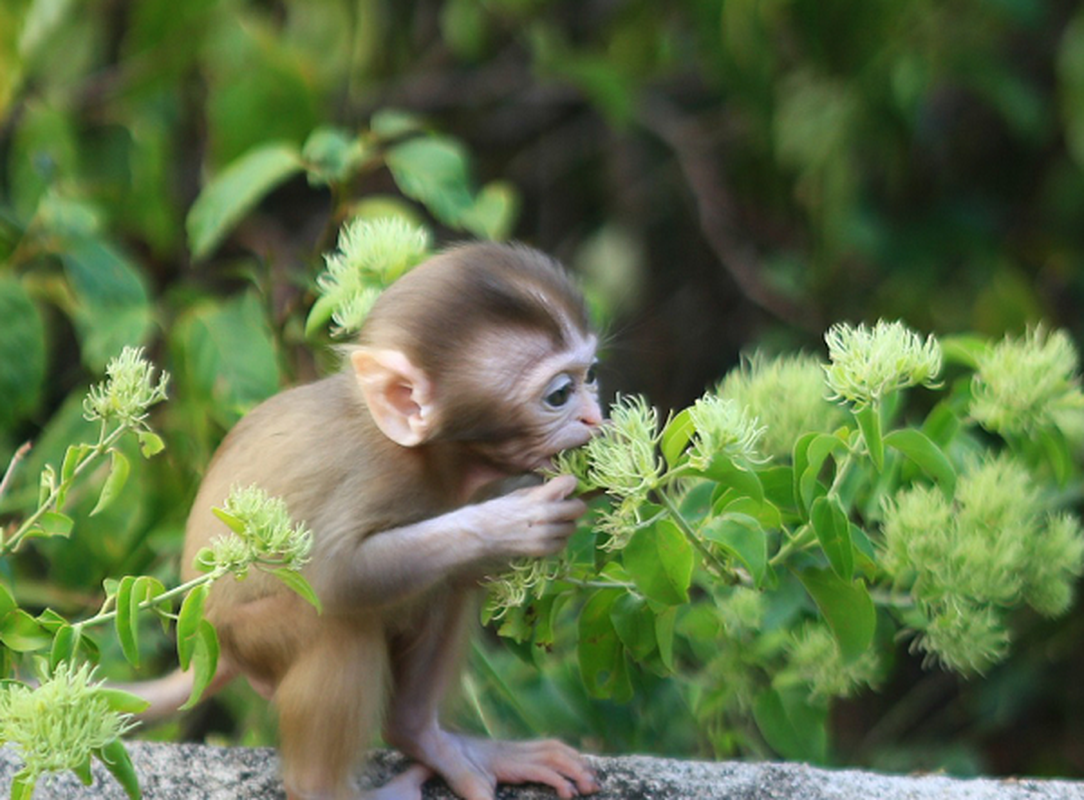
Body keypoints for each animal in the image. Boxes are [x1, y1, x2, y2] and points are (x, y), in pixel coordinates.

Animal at [137, 241, 602, 797]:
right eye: (559, 395)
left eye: (591, 376)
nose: (596, 415)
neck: (434, 456)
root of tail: (205, 638)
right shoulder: (375, 473)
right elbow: (337, 577)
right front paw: (511, 522)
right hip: (247, 635)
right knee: (337, 622)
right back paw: (323, 785)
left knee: (443, 583)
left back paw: (420, 732)